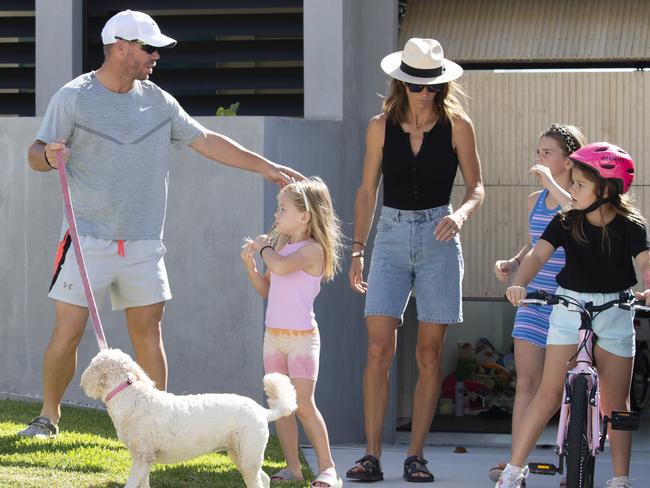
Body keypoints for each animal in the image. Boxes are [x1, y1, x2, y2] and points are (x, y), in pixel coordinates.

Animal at [79, 348, 298, 488]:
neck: (131, 397)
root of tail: (263, 411)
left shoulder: (143, 457)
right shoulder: (143, 459)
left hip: (249, 454)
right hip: (240, 453)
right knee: (264, 478)